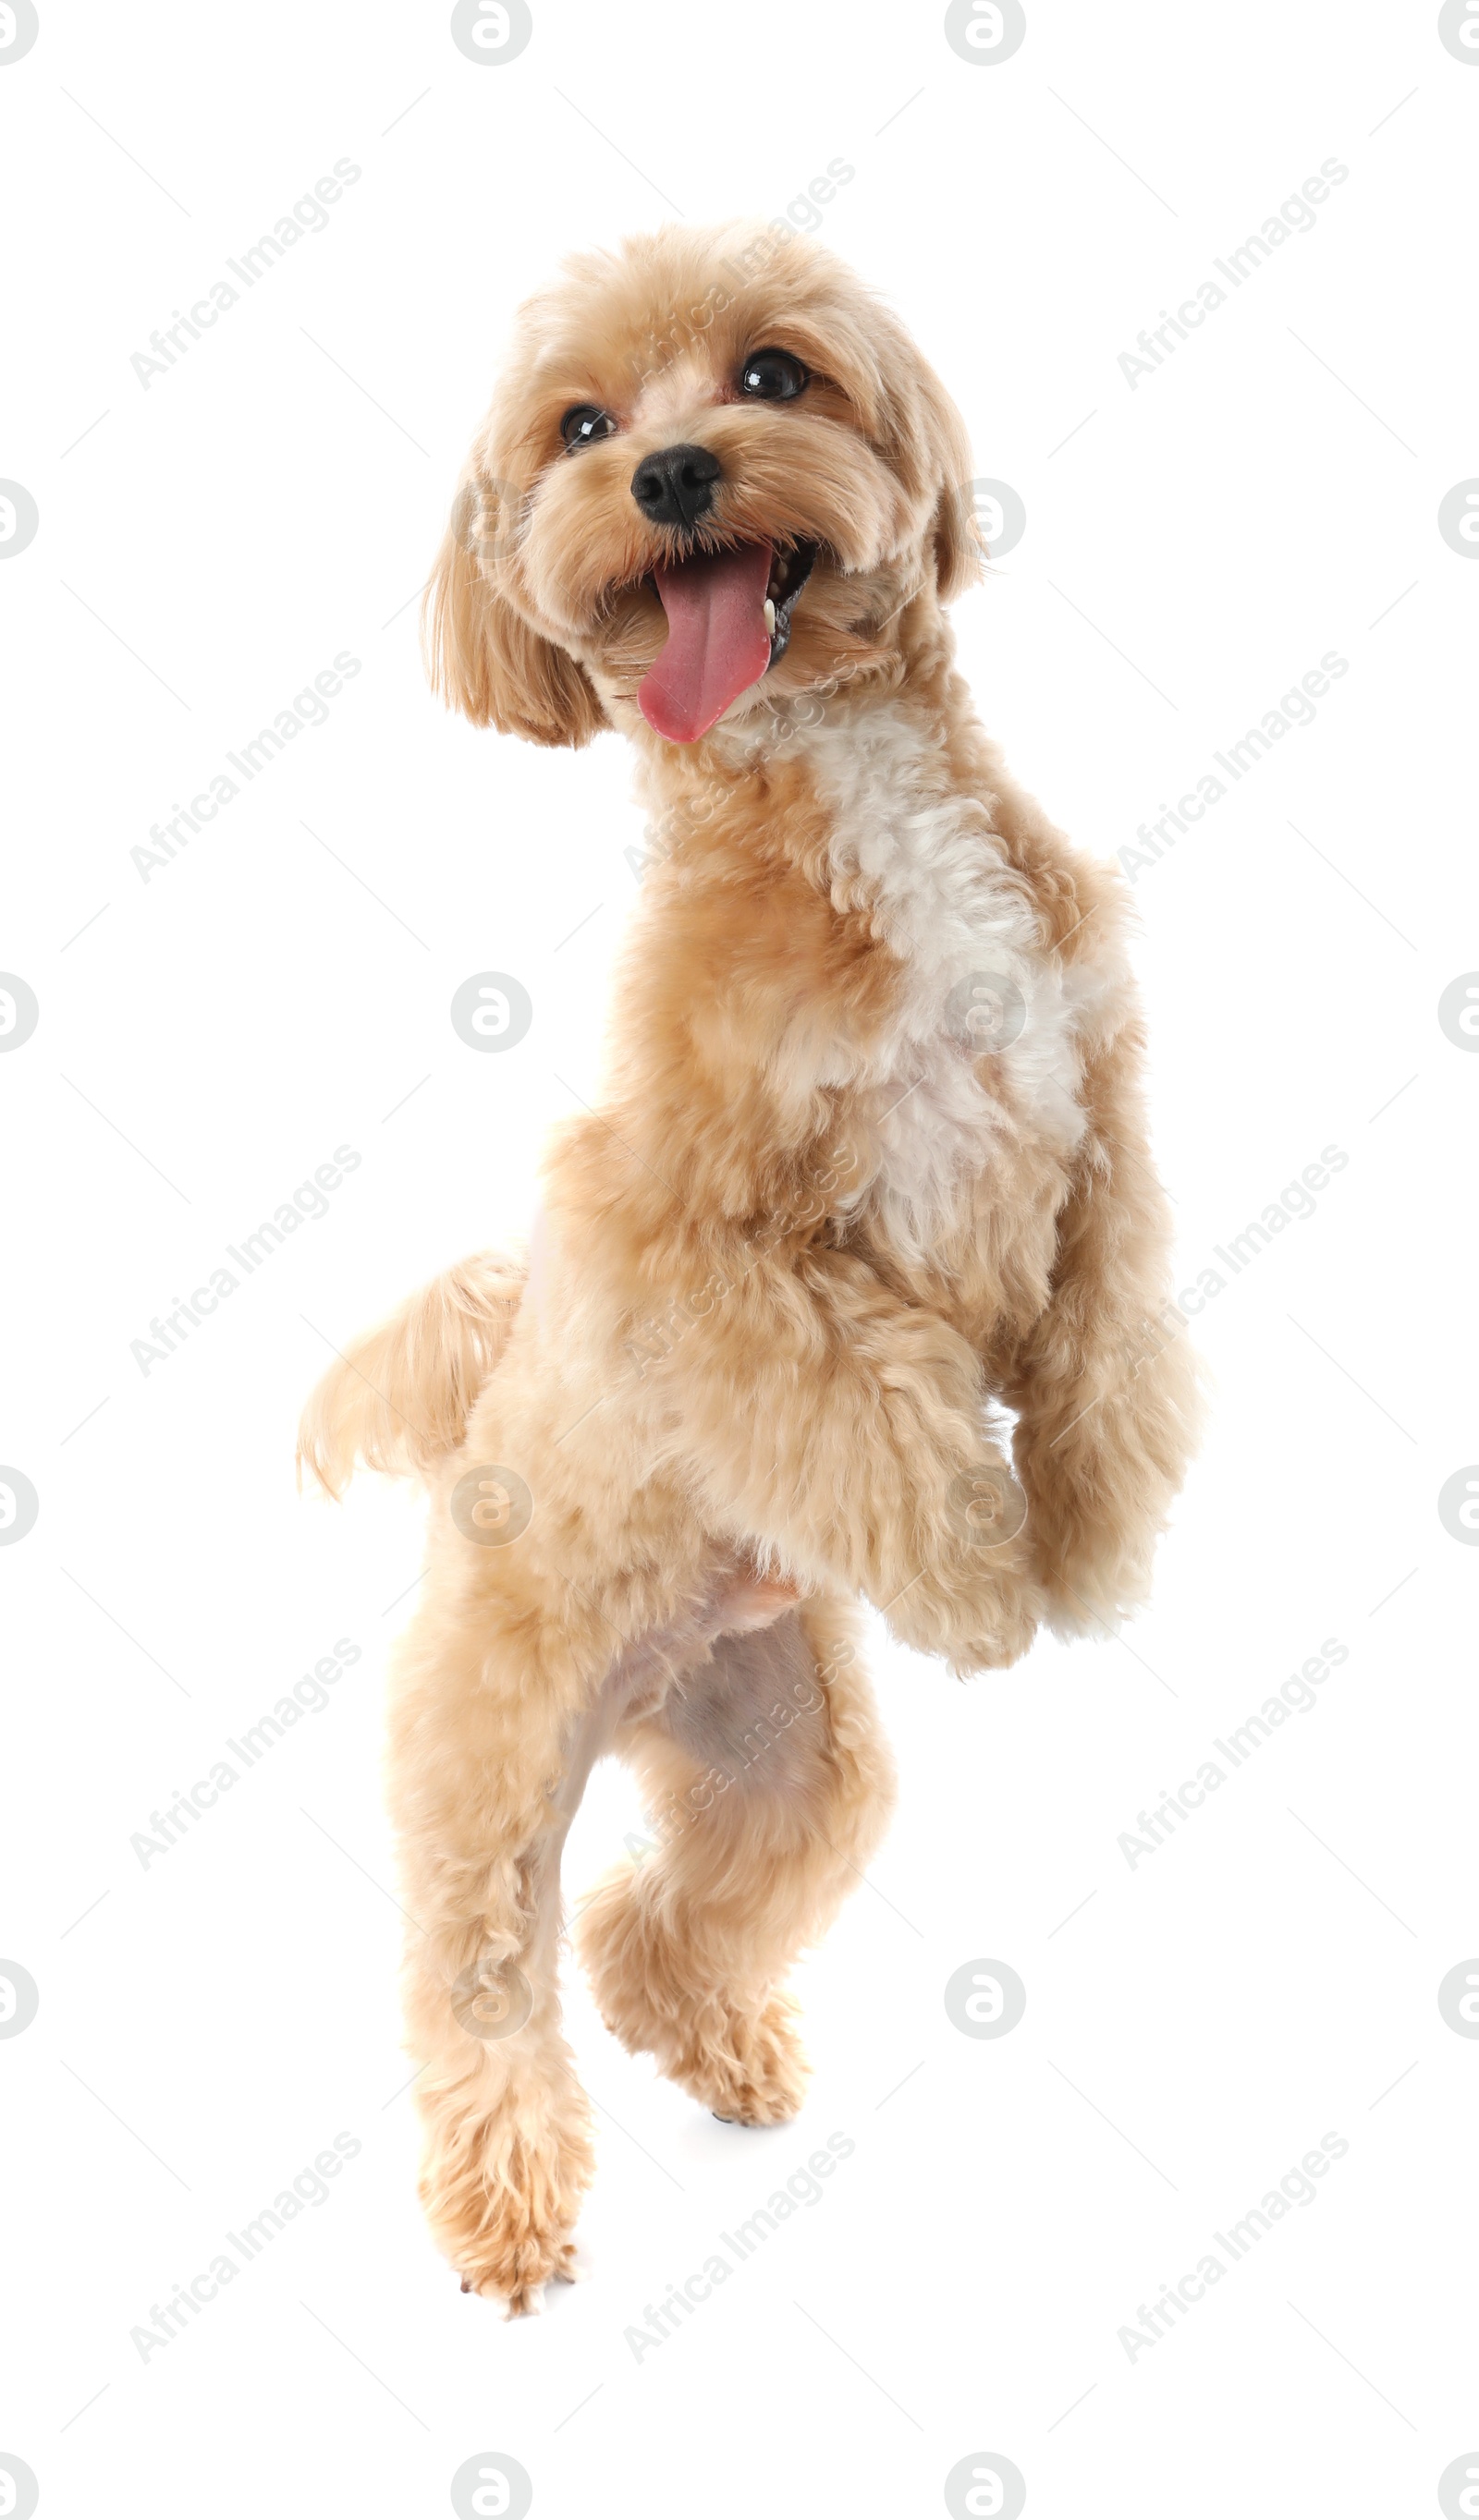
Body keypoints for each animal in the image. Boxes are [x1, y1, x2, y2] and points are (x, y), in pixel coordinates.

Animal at [300, 226, 1204, 2307]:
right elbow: (860, 1371)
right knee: (485, 1989)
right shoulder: (669, 1229)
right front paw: (976, 1573)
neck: (836, 772)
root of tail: (639, 1690)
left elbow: (1113, 1342)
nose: (671, 474)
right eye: (577, 426)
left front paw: (1091, 1542)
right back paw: (509, 2209)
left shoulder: (1093, 1115)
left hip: (790, 1766)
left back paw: (720, 2047)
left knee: (655, 1929)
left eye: (772, 376)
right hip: (486, 1778)